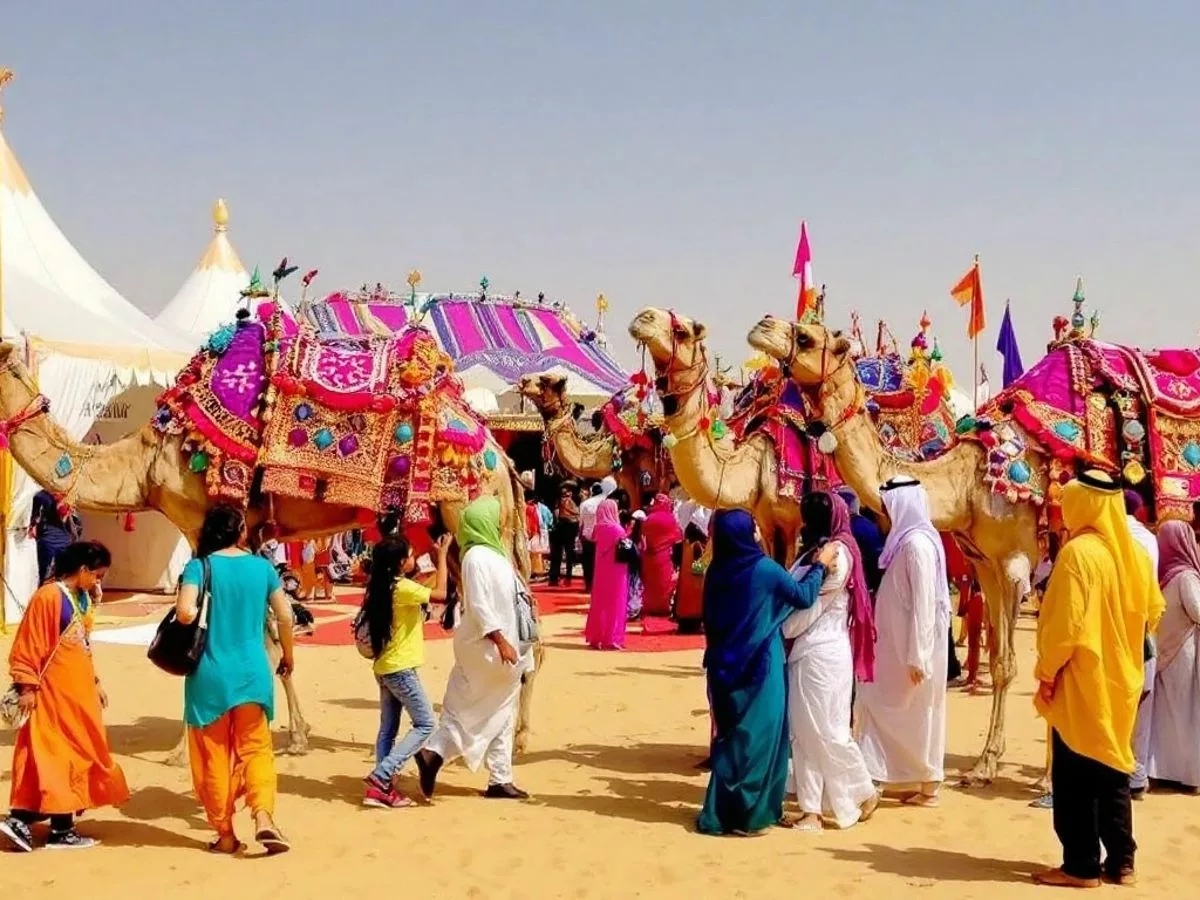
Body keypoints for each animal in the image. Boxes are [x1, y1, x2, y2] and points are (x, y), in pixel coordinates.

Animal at [0, 303, 540, 763]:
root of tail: (502, 453)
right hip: (451, 525)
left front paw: (181, 752)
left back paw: (511, 742)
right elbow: (271, 635)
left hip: (471, 511)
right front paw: (295, 734)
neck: (147, 461)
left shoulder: (203, 522)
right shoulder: (253, 534)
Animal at [744, 314, 1036, 782]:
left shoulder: (1015, 562)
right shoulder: (986, 564)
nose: (762, 324)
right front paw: (986, 761)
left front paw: (1003, 768)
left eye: (806, 337)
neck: (966, 483)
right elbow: (1003, 661)